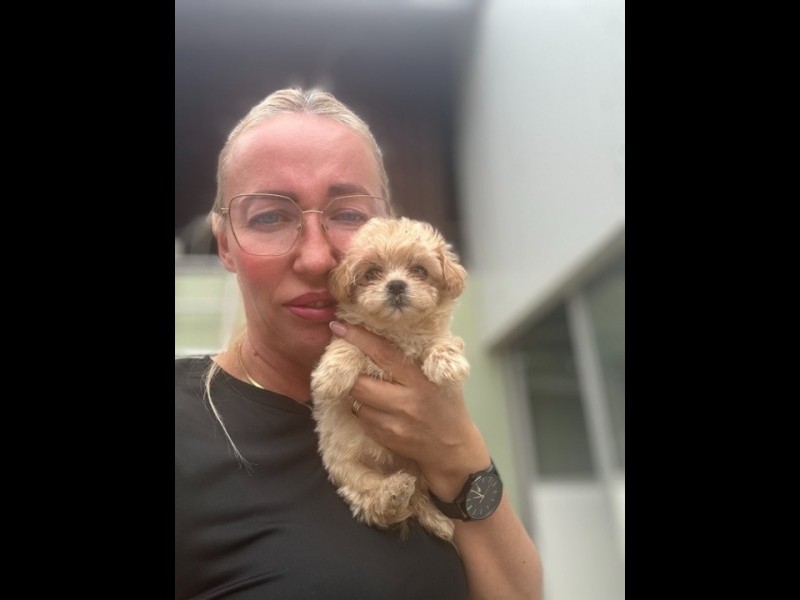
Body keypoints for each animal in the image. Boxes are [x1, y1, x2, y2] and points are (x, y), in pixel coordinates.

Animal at [310, 217, 470, 543]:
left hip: (422, 469)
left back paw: (437, 520)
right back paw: (394, 493)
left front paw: (447, 364)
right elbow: (347, 346)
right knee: (371, 502)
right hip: (348, 471)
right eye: (372, 273)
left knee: (418, 498)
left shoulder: (435, 333)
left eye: (419, 270)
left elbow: (443, 340)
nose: (396, 285)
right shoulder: (351, 333)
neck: (397, 330)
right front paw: (330, 377)